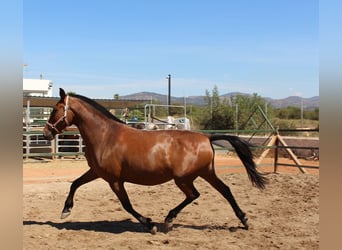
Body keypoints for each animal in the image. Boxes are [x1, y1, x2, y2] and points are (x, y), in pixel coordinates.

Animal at [43, 89, 268, 233]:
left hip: (184, 178)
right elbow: (75, 183)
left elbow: (126, 204)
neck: (106, 135)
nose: (46, 132)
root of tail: (206, 138)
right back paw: (244, 220)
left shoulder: (114, 180)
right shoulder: (97, 173)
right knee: (225, 190)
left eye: (55, 109)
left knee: (195, 194)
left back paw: (168, 219)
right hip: (205, 173)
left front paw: (149, 224)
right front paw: (65, 210)